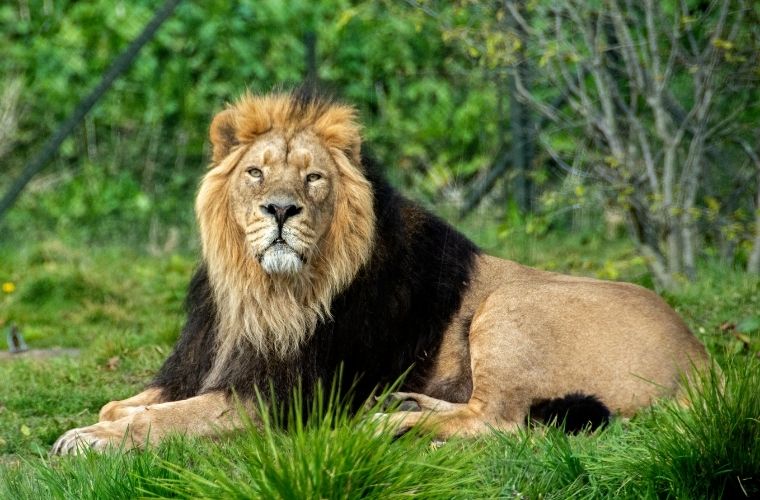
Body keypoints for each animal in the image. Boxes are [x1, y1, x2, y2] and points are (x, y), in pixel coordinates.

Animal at [50, 88, 708, 456]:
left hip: (509, 307)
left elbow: (168, 419)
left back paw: (382, 427)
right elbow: (124, 404)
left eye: (313, 178)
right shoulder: (207, 361)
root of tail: (705, 360)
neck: (262, 292)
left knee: (497, 424)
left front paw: (91, 440)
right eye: (256, 173)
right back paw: (402, 408)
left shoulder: (284, 396)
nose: (281, 210)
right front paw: (111, 419)